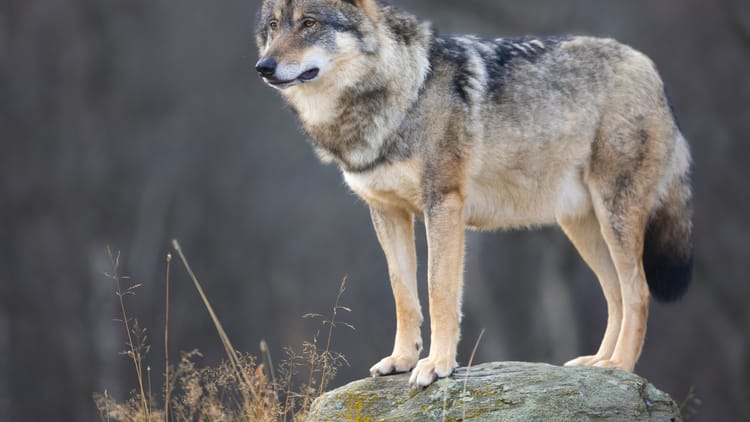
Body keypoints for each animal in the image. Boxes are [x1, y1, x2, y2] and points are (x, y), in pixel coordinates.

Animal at [255, 0, 693, 388]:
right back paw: (598, 363)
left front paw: (437, 366)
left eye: (309, 22)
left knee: (638, 293)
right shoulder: (386, 212)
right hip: (582, 228)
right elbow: (403, 294)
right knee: (615, 294)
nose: (263, 67)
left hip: (614, 216)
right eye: (274, 26)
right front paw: (402, 359)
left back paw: (620, 366)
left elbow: (439, 292)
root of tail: (648, 66)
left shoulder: (443, 204)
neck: (402, 91)